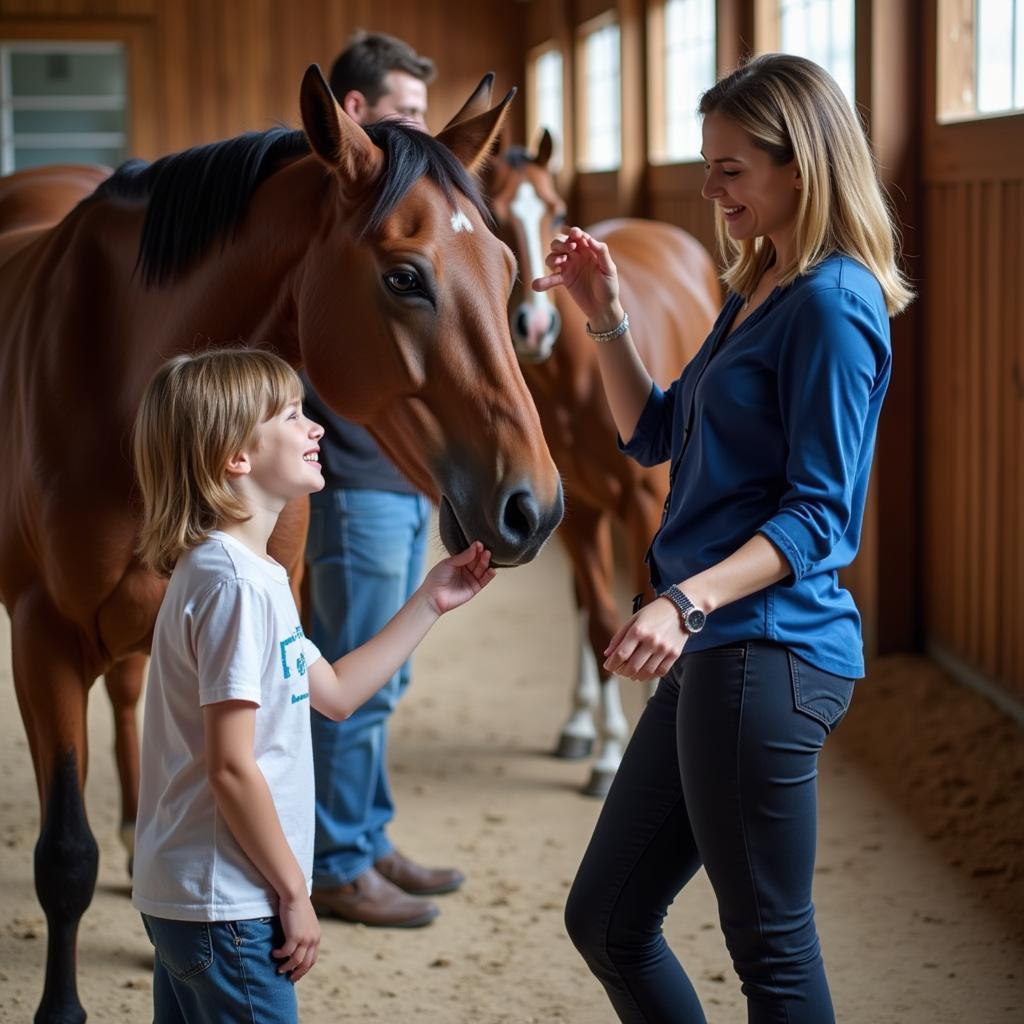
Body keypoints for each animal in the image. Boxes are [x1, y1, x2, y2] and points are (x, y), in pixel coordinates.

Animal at [485, 132, 720, 794]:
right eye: (495, 217)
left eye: (558, 212)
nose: (535, 325)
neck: (578, 379)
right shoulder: (576, 515)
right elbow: (600, 621)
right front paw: (611, 750)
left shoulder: (644, 507)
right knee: (584, 607)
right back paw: (579, 723)